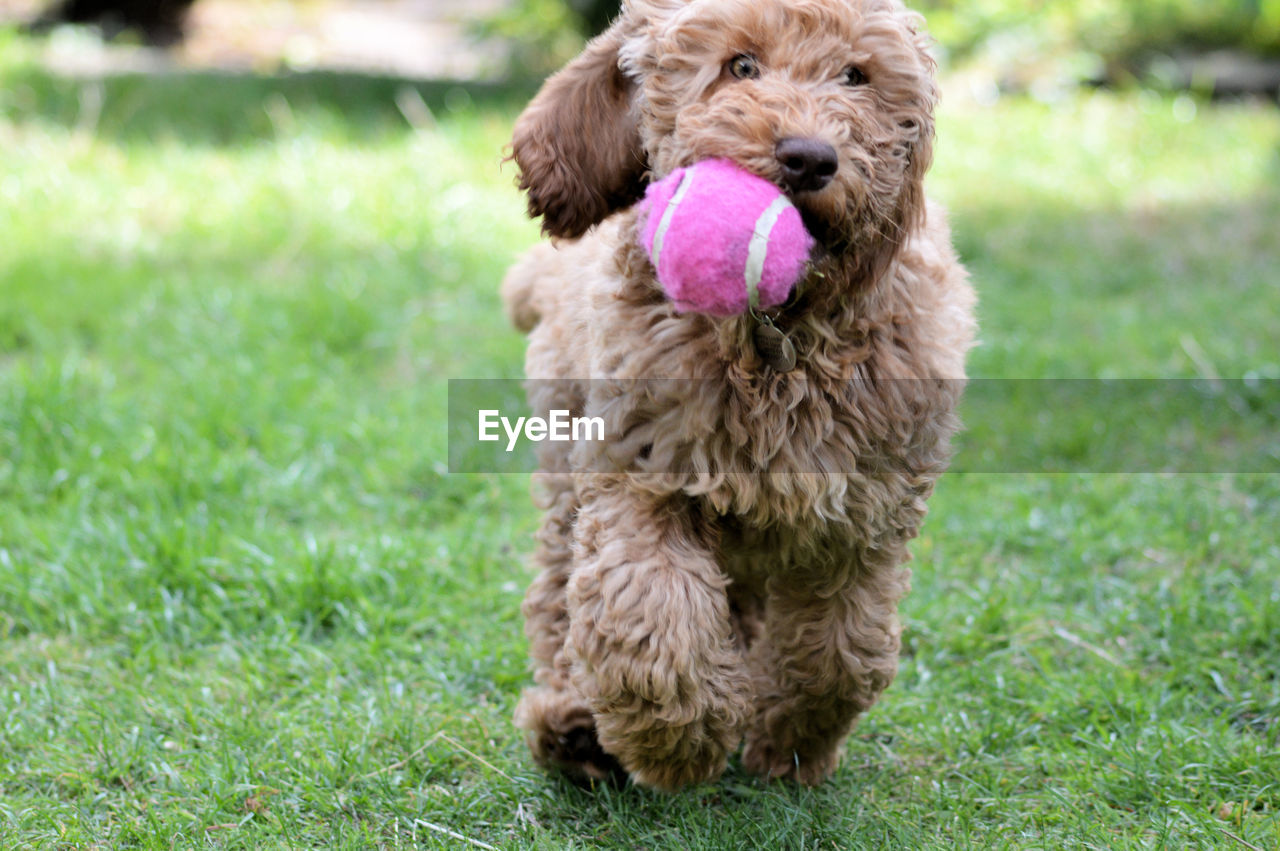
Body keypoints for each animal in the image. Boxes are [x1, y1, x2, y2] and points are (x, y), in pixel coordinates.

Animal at [501, 0, 977, 788]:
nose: (810, 157)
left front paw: (789, 741)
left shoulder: (864, 518)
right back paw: (573, 728)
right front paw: (679, 741)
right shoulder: (642, 478)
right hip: (566, 462)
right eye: (741, 66)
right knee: (559, 594)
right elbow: (647, 617)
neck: (778, 333)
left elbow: (843, 651)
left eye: (856, 76)